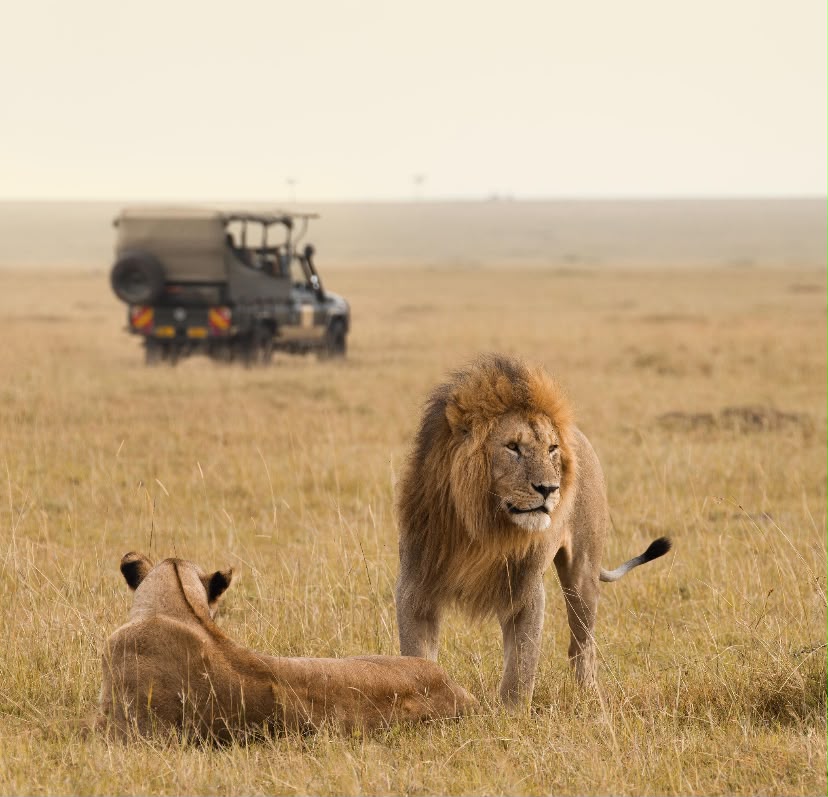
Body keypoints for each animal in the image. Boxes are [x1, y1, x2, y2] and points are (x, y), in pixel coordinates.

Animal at [396, 354, 671, 705]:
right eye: (513, 447)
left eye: (551, 449)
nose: (549, 489)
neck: (482, 528)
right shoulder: (416, 586)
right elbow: (416, 656)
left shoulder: (525, 590)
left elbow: (521, 666)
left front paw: (509, 715)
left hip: (582, 573)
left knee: (582, 645)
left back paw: (589, 696)